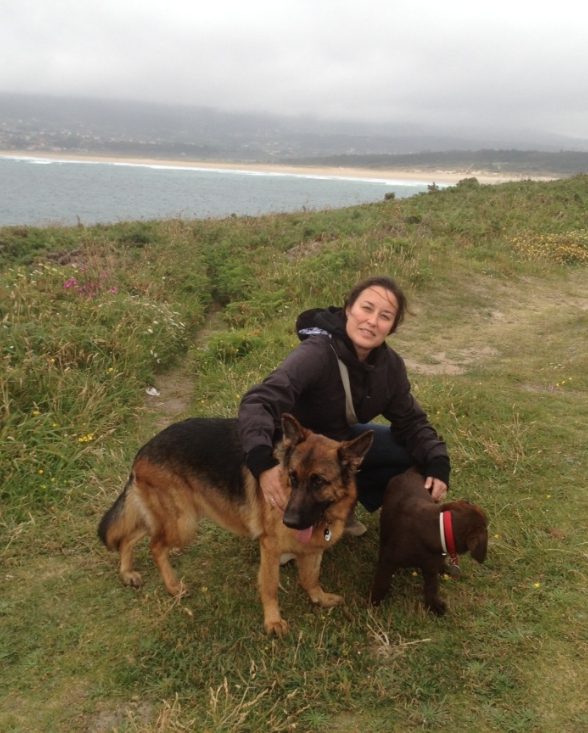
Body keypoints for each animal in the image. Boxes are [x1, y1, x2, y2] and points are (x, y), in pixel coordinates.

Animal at [97, 412, 372, 636]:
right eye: (292, 477)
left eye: (318, 482)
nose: (289, 520)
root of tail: (142, 450)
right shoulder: (270, 548)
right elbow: (270, 585)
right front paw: (272, 621)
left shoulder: (313, 548)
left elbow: (310, 577)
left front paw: (319, 598)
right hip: (182, 523)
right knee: (154, 545)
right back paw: (173, 586)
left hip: (172, 517)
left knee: (129, 536)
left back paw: (127, 573)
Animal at [372, 466, 486, 616]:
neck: (438, 529)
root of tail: (410, 471)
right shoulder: (388, 561)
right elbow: (382, 583)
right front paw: (374, 603)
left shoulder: (430, 567)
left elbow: (431, 586)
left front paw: (433, 605)